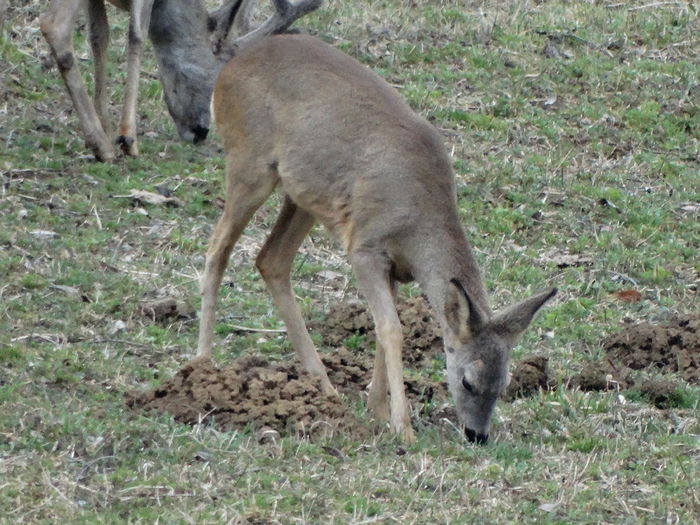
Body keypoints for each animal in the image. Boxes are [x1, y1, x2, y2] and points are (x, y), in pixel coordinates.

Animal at [39, 0, 322, 161]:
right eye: (214, 77)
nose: (200, 131)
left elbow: (99, 35)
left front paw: (108, 127)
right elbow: (137, 33)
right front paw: (127, 138)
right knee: (54, 24)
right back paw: (101, 146)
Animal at [198, 33, 556, 442]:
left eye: (505, 383)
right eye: (468, 381)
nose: (476, 435)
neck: (418, 222)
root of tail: (228, 70)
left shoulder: (395, 266)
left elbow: (386, 329)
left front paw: (378, 411)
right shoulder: (366, 247)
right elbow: (391, 329)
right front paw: (403, 427)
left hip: (305, 195)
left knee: (271, 260)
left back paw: (324, 387)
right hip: (250, 165)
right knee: (218, 248)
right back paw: (202, 365)